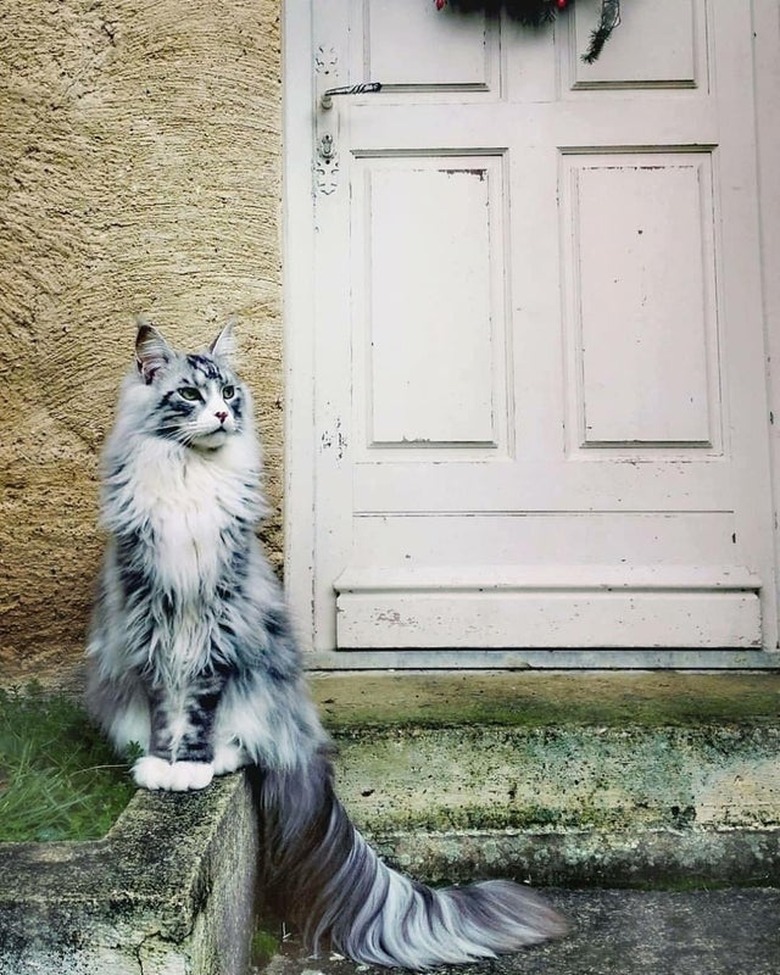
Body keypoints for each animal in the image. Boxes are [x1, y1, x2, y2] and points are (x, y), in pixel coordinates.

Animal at [87, 326, 568, 968]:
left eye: (230, 392)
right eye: (189, 393)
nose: (222, 413)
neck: (190, 476)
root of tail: (304, 737)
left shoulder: (220, 622)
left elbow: (200, 709)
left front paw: (191, 766)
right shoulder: (149, 617)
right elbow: (167, 707)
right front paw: (163, 768)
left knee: (249, 739)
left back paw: (222, 758)